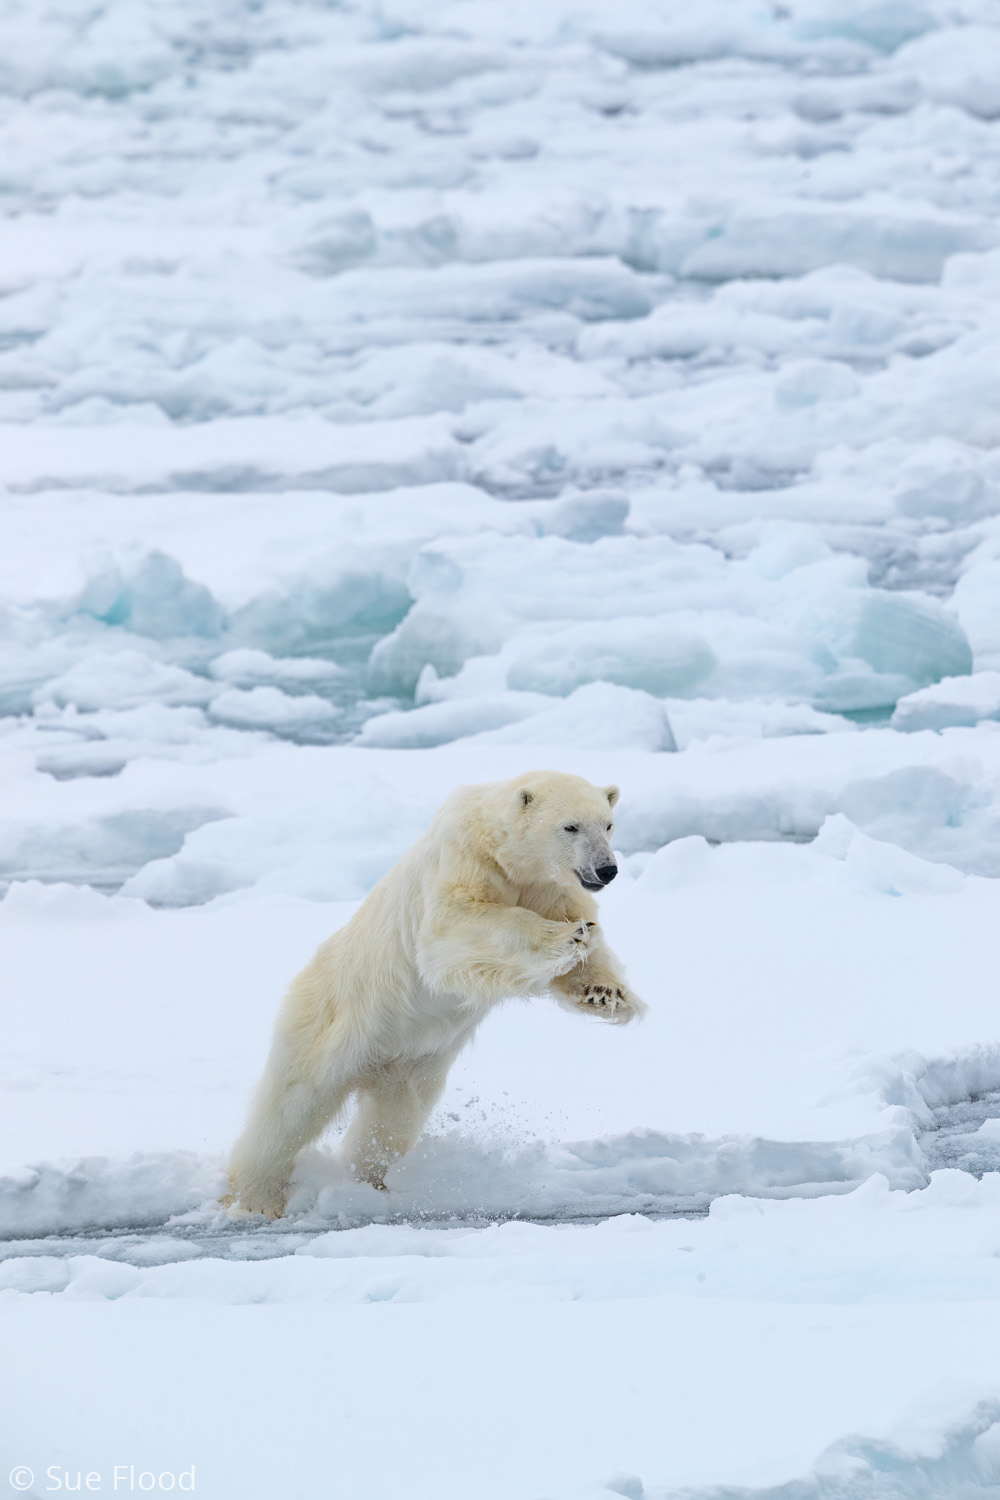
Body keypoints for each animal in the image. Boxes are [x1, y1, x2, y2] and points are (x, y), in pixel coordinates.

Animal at [223, 774, 644, 1218]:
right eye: (570, 826)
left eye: (608, 824)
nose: (607, 869)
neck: (505, 855)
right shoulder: (463, 861)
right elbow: (456, 926)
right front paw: (566, 935)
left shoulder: (548, 885)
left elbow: (583, 940)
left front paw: (605, 991)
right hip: (328, 1016)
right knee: (291, 1106)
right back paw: (257, 1197)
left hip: (410, 1061)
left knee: (391, 1122)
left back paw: (373, 1183)